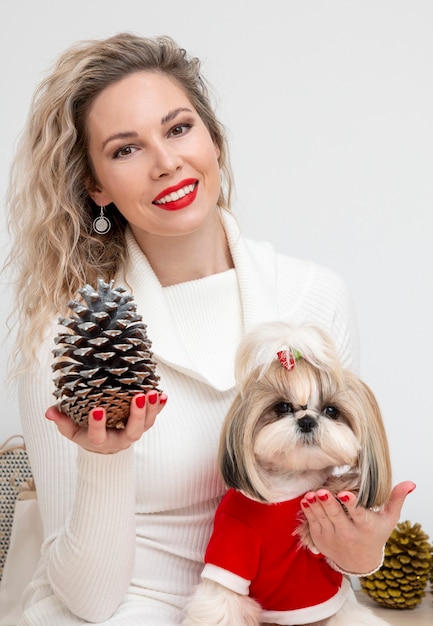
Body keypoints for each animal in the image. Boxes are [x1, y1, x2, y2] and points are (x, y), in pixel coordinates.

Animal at [182, 322, 392, 624]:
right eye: (281, 407)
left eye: (331, 410)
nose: (307, 420)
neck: (290, 483)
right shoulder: (231, 549)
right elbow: (222, 604)